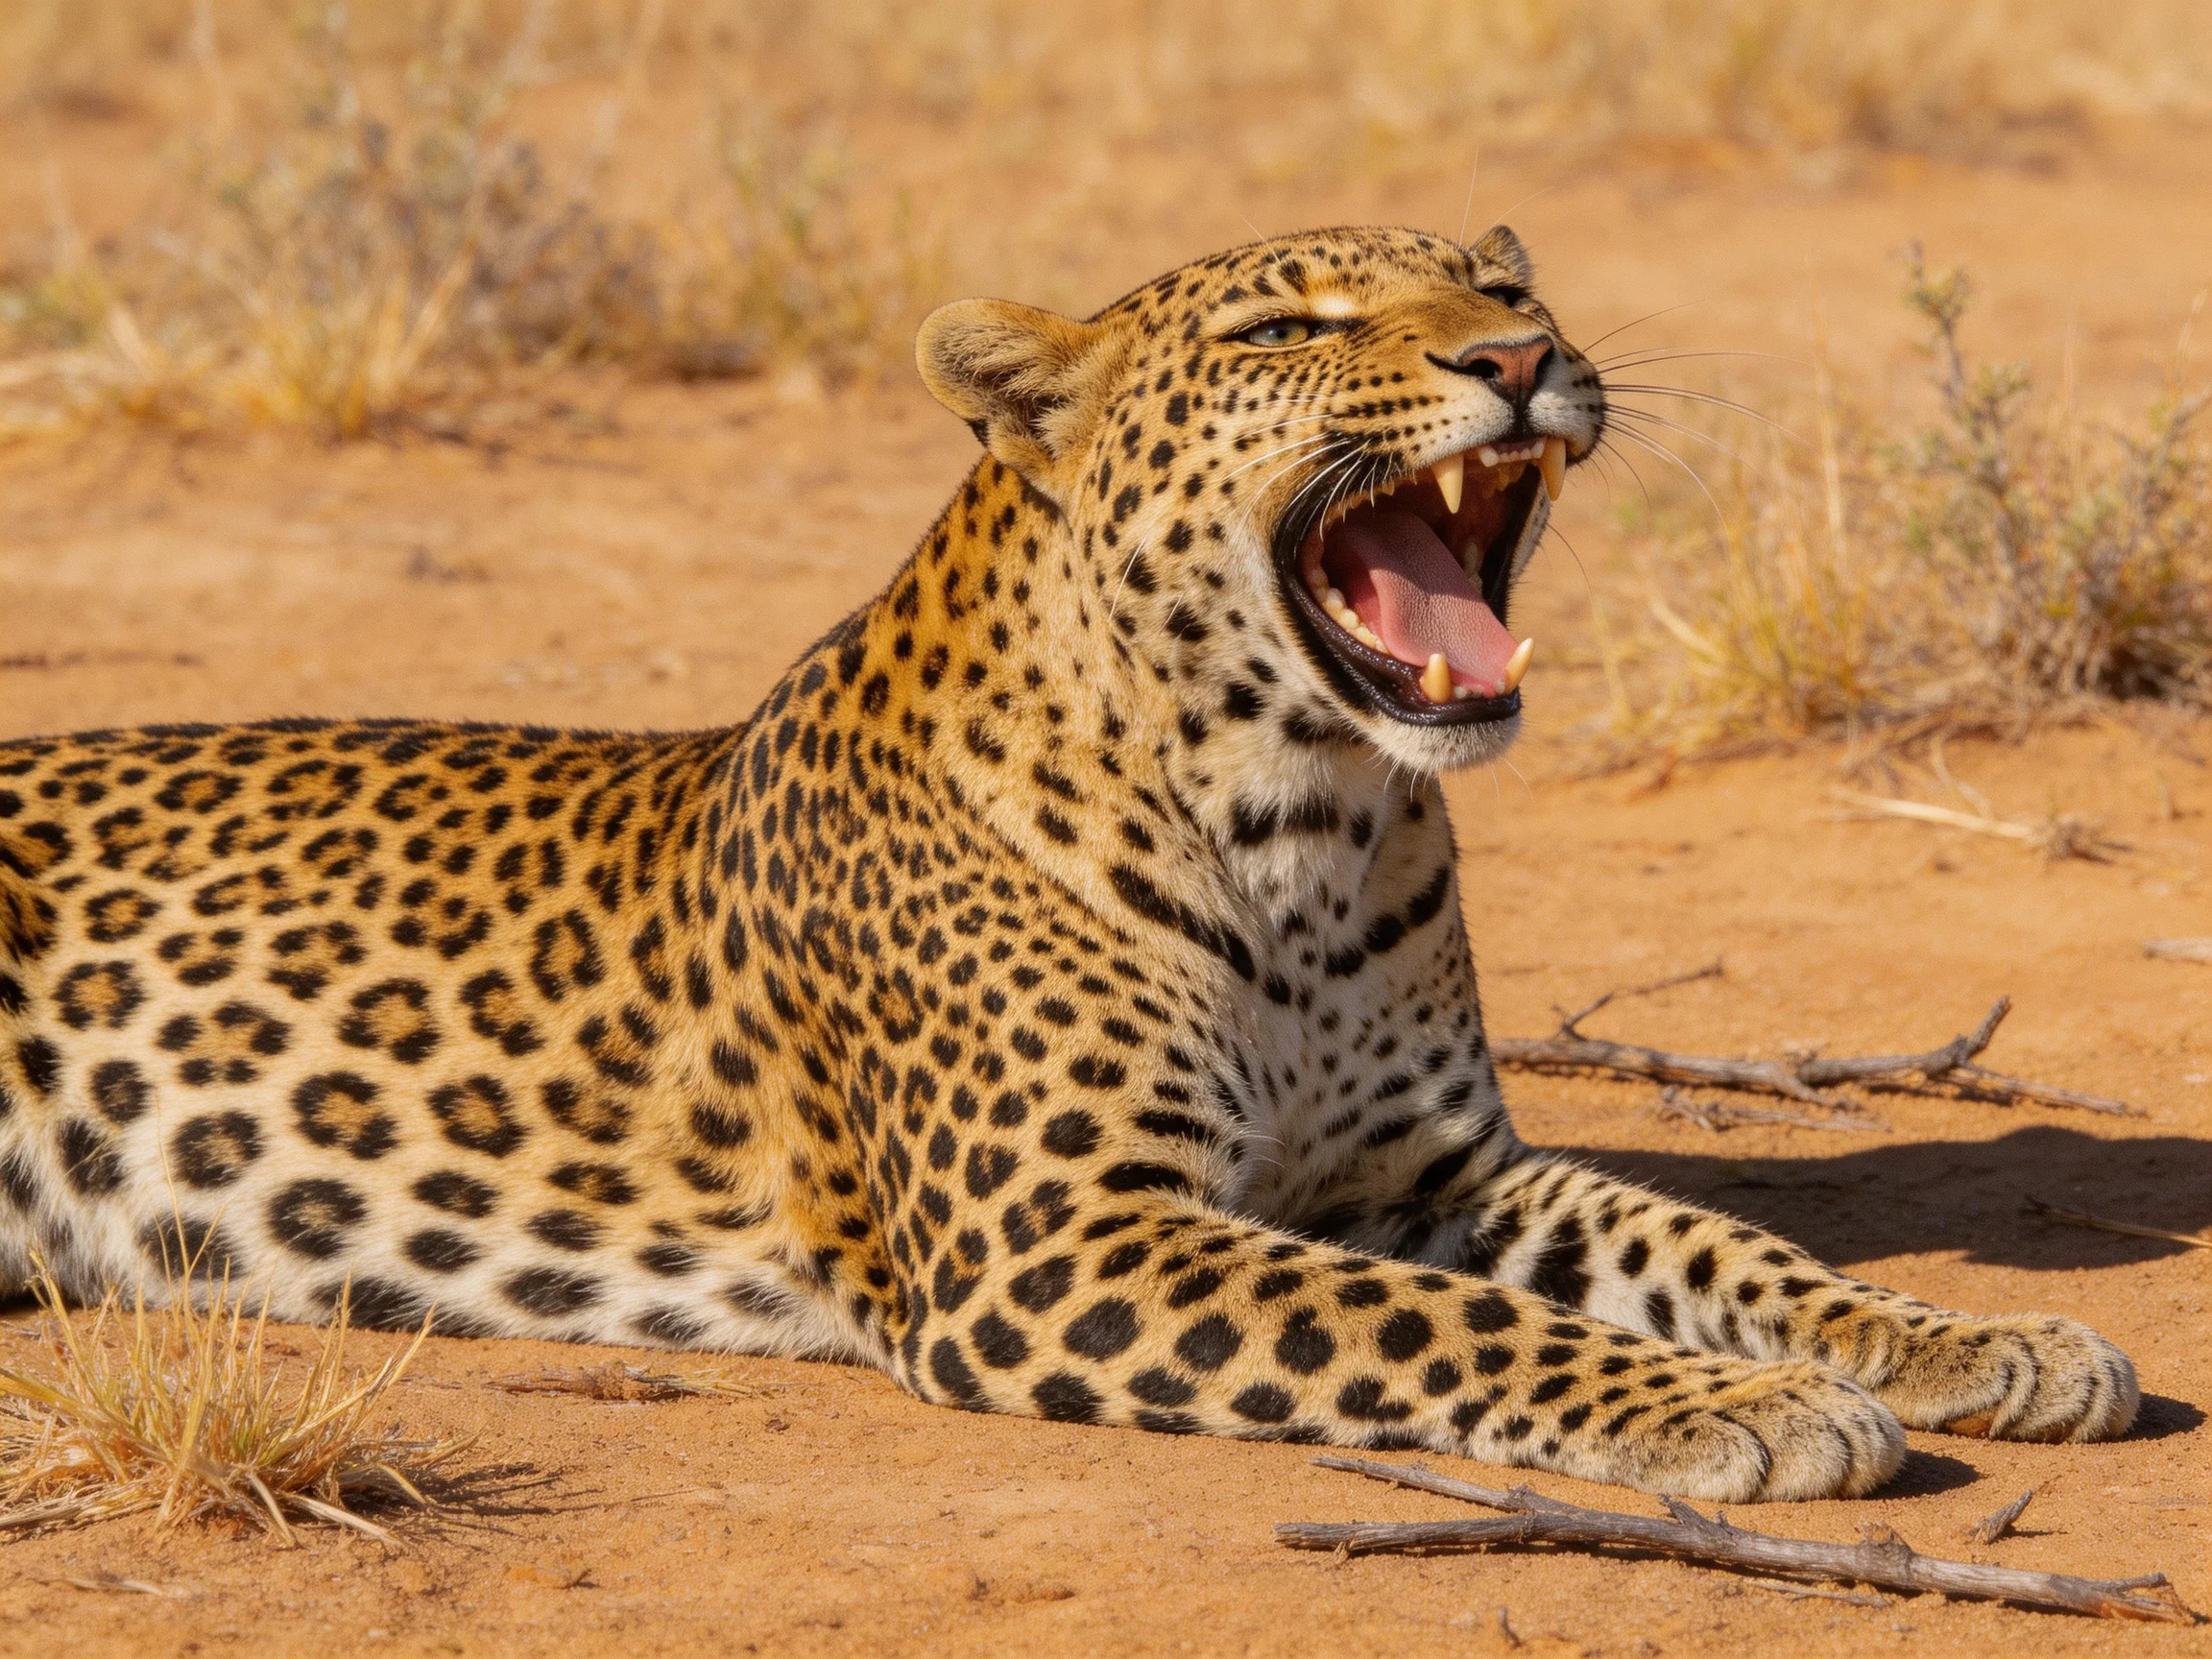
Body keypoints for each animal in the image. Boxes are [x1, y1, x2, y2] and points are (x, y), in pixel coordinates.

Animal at [0, 225, 2137, 1502]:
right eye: (1289, 329)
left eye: (1492, 273)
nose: (1525, 351)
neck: (1305, 824)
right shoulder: (1065, 1233)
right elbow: (1456, 1326)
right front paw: (1741, 1409)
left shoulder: (1432, 1173)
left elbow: (1715, 1241)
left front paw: (1964, 1341)